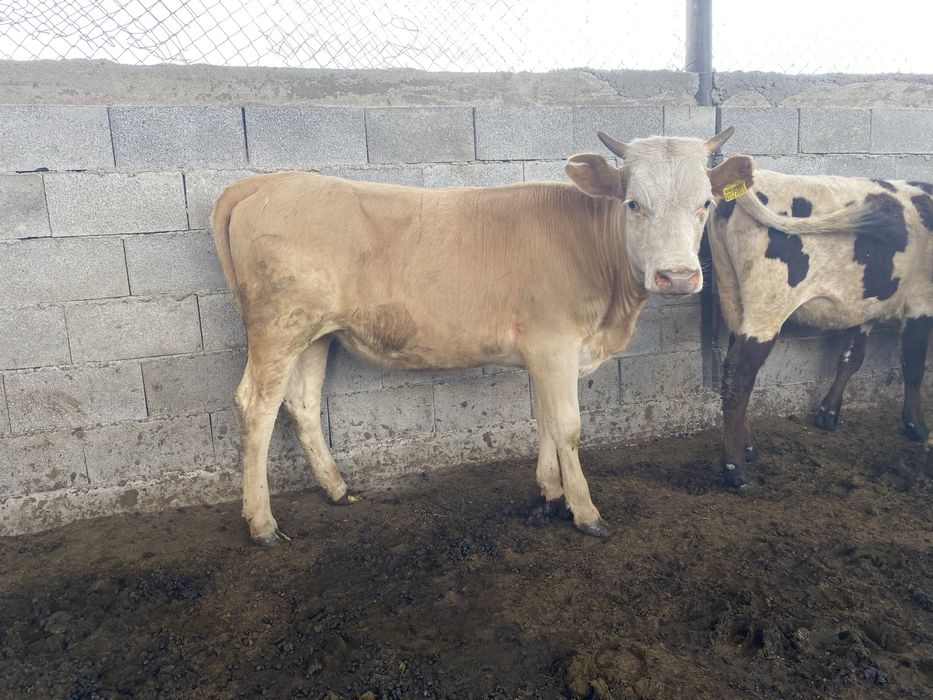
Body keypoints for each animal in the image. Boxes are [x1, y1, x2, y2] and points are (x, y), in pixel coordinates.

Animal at [211, 127, 748, 545]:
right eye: (634, 203)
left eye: (706, 203)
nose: (677, 276)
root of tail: (266, 181)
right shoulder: (555, 345)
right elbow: (568, 426)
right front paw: (585, 512)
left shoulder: (542, 352)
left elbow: (544, 419)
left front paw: (549, 492)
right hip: (278, 328)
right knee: (256, 406)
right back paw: (262, 523)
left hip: (315, 333)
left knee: (301, 402)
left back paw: (338, 489)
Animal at [707, 167, 933, 490]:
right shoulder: (920, 301)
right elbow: (913, 367)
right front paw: (916, 426)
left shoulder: (862, 308)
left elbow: (851, 358)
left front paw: (828, 413)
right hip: (768, 305)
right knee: (740, 378)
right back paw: (734, 468)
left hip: (733, 297)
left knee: (730, 371)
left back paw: (747, 446)